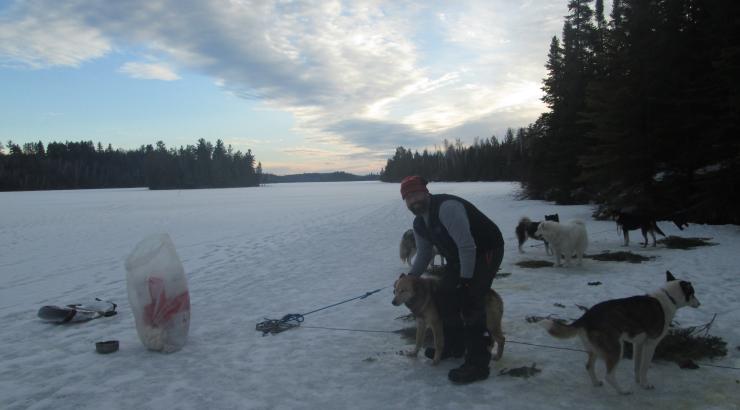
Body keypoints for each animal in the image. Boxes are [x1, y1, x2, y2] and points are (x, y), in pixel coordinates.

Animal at [540, 272, 704, 394]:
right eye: (693, 293)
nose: (700, 304)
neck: (668, 298)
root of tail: (586, 316)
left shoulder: (638, 344)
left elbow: (637, 366)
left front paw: (638, 381)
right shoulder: (650, 344)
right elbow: (644, 367)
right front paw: (645, 384)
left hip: (595, 349)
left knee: (589, 366)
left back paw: (596, 383)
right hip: (617, 348)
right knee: (609, 375)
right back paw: (623, 391)